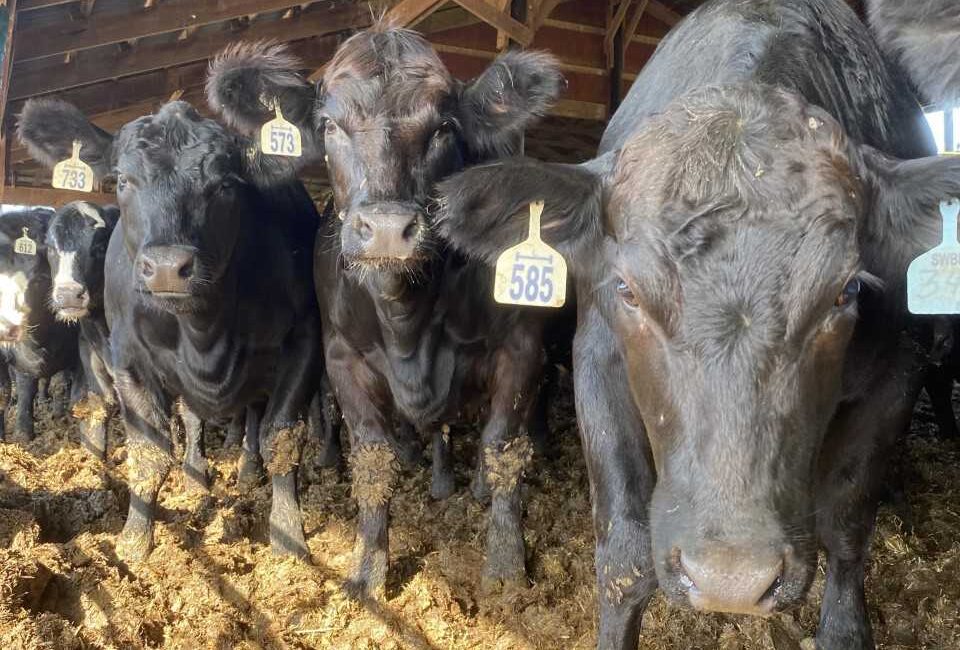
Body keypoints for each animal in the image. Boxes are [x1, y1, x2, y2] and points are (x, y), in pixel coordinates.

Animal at [0, 208, 82, 443]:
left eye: (40, 278)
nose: (7, 327)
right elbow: (19, 389)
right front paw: (21, 432)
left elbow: (62, 385)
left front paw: (60, 415)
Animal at [18, 99, 323, 562]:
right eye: (123, 180)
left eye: (225, 184)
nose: (166, 267)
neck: (205, 333)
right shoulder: (127, 359)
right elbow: (148, 451)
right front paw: (134, 543)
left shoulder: (304, 341)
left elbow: (281, 440)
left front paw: (288, 538)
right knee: (193, 419)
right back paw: (197, 479)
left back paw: (244, 473)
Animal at [205, 27, 563, 598]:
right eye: (329, 125)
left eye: (444, 127)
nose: (389, 230)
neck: (407, 320)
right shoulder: (341, 358)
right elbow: (373, 462)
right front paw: (368, 572)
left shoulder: (521, 348)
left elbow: (505, 449)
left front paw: (507, 572)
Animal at [433, 1, 960, 648]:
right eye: (627, 290)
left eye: (847, 290)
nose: (731, 579)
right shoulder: (597, 362)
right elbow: (624, 557)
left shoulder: (897, 376)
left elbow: (846, 528)